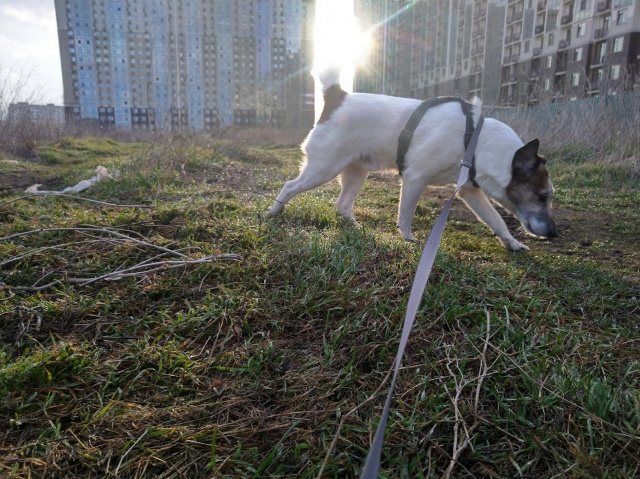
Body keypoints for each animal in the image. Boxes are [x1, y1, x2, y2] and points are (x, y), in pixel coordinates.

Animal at [268, 68, 557, 251]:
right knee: (290, 186)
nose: (554, 233)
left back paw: (354, 227)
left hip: (357, 171)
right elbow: (406, 214)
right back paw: (273, 212)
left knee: (342, 204)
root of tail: (337, 95)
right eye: (542, 196)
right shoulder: (415, 178)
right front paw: (406, 238)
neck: (475, 138)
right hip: (323, 168)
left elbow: (496, 220)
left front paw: (512, 243)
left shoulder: (470, 192)